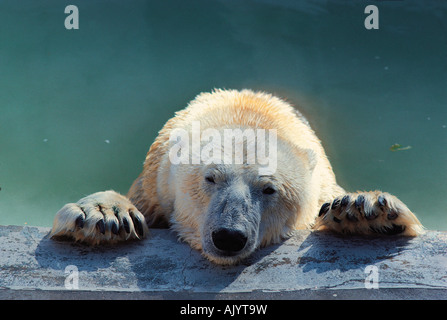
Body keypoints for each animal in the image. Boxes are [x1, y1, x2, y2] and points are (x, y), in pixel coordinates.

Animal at [50, 89, 424, 264]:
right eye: (210, 178)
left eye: (270, 189)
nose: (229, 236)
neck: (246, 111)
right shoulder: (154, 181)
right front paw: (104, 215)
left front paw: (364, 210)